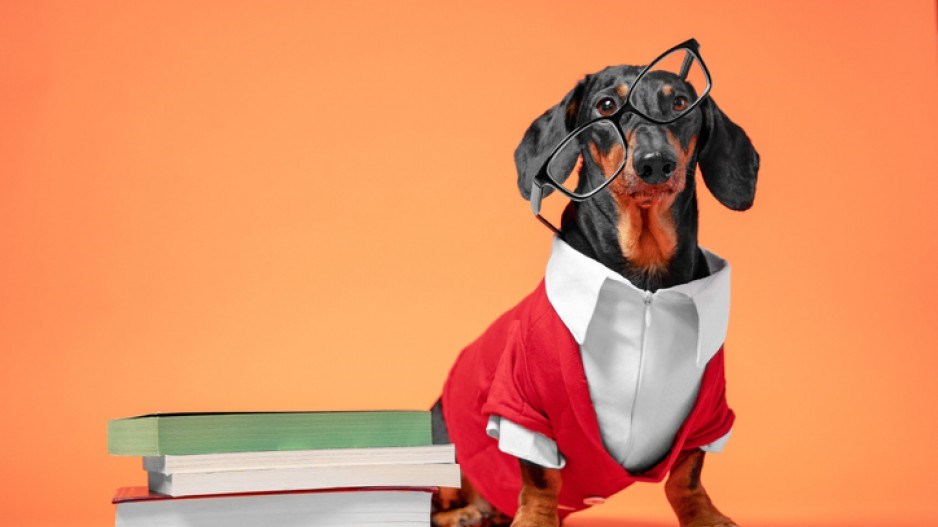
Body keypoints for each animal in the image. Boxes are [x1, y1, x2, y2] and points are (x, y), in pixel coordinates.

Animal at [428, 51, 756, 527]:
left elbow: (687, 475)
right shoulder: (523, 403)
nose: (655, 163)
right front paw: (536, 519)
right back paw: (463, 514)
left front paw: (704, 516)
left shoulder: (708, 414)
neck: (644, 285)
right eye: (605, 106)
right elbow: (540, 476)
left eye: (679, 103)